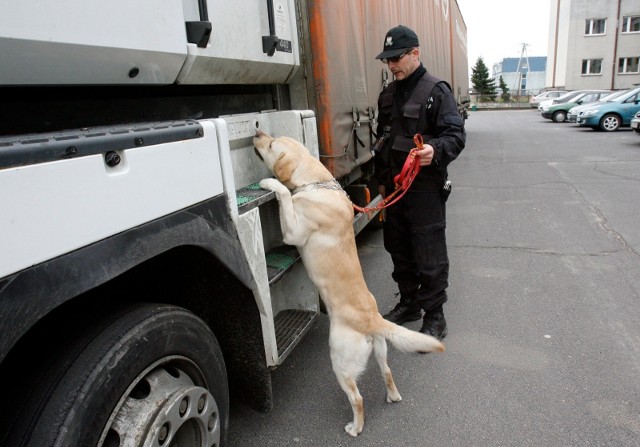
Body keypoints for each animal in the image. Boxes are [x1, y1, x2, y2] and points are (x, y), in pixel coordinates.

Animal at [252, 130, 442, 438]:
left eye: (270, 144)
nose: (257, 131)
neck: (316, 183)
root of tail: (372, 319)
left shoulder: (294, 230)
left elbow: (284, 195)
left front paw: (271, 183)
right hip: (380, 349)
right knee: (387, 372)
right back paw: (393, 396)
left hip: (339, 360)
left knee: (357, 398)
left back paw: (355, 428)